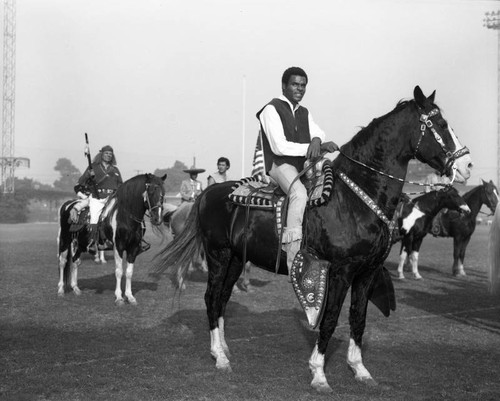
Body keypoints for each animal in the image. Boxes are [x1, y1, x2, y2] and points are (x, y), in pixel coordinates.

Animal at [152, 86, 472, 390]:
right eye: (441, 124)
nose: (467, 165)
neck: (352, 199)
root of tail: (208, 192)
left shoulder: (366, 272)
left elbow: (358, 317)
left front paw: (360, 370)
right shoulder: (341, 271)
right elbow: (330, 318)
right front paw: (319, 374)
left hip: (234, 259)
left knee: (222, 299)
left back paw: (224, 349)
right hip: (218, 255)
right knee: (210, 298)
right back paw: (219, 357)